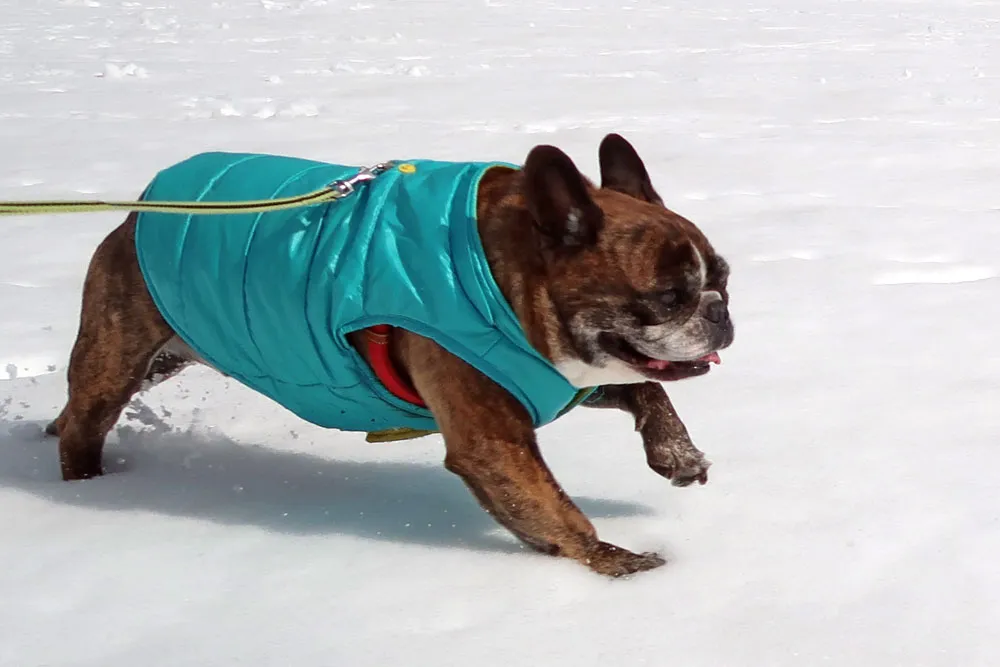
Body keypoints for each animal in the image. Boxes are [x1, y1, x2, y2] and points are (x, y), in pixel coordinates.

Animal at [47, 133, 732, 576]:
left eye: (722, 276)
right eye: (668, 297)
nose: (719, 311)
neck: (510, 281)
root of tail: (136, 212)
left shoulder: (561, 377)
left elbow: (648, 388)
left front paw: (677, 454)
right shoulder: (494, 442)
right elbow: (553, 511)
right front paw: (623, 566)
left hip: (165, 354)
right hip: (119, 350)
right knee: (87, 420)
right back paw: (90, 489)